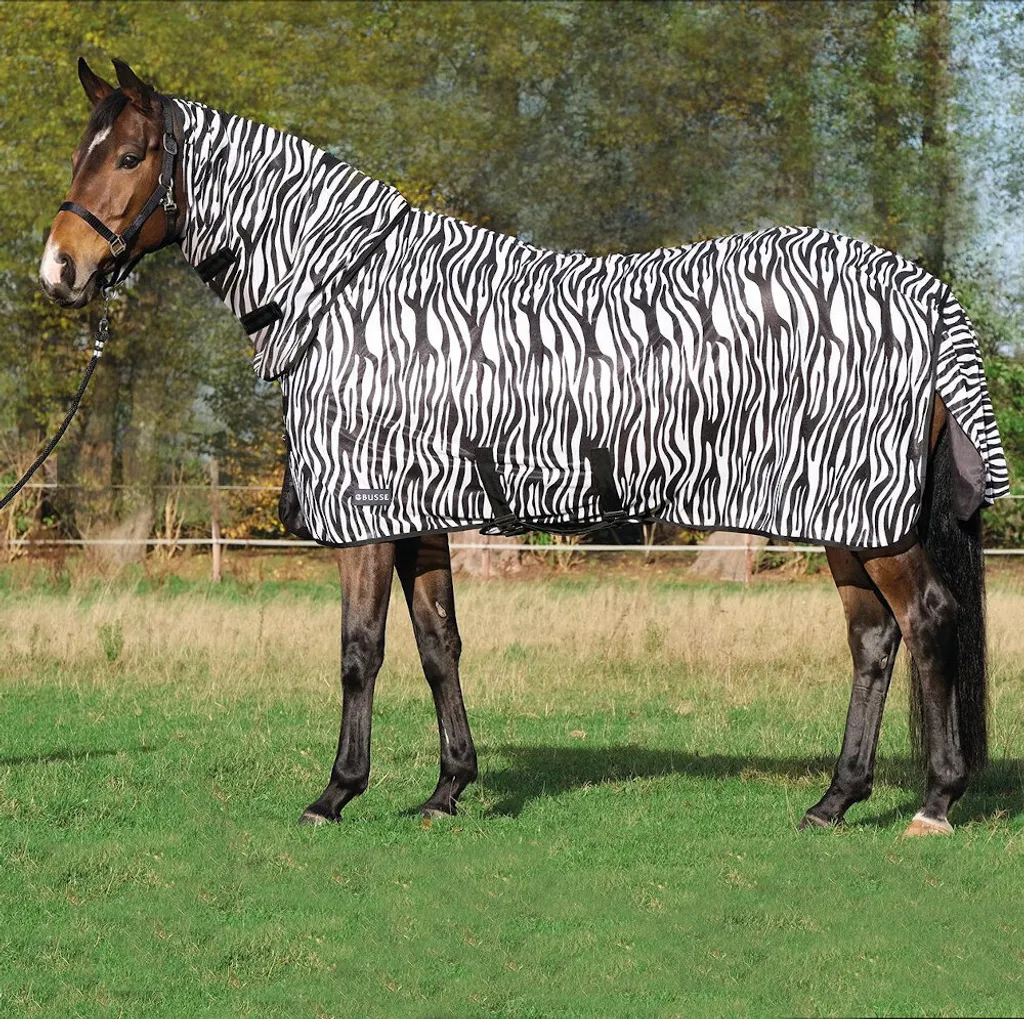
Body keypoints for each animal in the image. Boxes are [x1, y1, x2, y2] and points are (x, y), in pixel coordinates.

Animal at [39, 58, 1008, 838]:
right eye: (84, 151)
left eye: (130, 156)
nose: (59, 271)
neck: (352, 294)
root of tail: (921, 291)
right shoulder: (421, 518)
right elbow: (438, 644)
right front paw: (446, 791)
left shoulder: (367, 519)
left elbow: (361, 651)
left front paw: (336, 793)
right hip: (844, 518)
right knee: (874, 641)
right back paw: (836, 800)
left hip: (872, 517)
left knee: (928, 620)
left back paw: (934, 801)